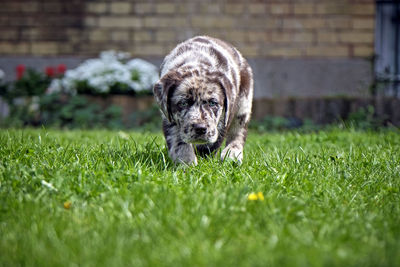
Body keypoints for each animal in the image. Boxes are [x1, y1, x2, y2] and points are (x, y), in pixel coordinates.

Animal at [153, 35, 253, 165]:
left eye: (212, 103)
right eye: (183, 103)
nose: (200, 129)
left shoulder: (223, 119)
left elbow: (212, 143)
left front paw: (204, 159)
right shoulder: (169, 118)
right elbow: (179, 142)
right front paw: (186, 162)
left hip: (243, 105)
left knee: (238, 132)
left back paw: (232, 155)